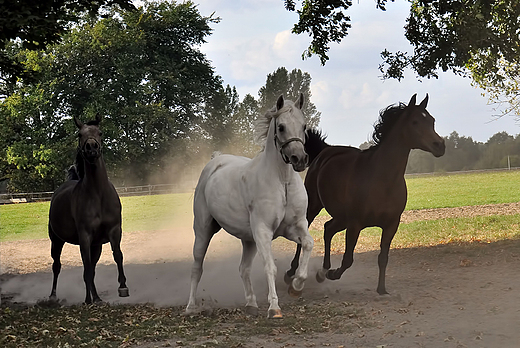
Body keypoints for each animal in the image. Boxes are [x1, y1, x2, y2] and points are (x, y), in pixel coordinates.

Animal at [48, 115, 129, 304]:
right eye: (79, 134)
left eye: (100, 132)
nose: (91, 148)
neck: (98, 195)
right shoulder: (85, 236)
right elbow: (86, 267)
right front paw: (86, 300)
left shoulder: (114, 231)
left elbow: (117, 255)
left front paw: (122, 287)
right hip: (56, 240)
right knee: (57, 266)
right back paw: (53, 296)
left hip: (96, 246)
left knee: (91, 268)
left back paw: (97, 298)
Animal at [189, 93, 314, 318]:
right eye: (281, 127)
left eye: (304, 125)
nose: (299, 159)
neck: (282, 182)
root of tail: (215, 161)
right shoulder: (263, 231)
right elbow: (270, 267)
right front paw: (274, 308)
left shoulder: (294, 227)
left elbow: (308, 244)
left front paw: (296, 287)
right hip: (203, 230)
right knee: (197, 267)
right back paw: (190, 307)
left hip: (249, 240)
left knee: (243, 269)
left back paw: (251, 304)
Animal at [286, 93, 444, 294]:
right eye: (415, 122)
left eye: (432, 120)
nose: (440, 145)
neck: (382, 179)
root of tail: (325, 150)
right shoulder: (355, 224)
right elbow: (348, 259)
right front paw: (333, 274)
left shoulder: (391, 225)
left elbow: (383, 257)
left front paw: (382, 289)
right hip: (315, 206)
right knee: (305, 235)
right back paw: (292, 273)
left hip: (341, 217)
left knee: (328, 229)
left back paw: (322, 271)